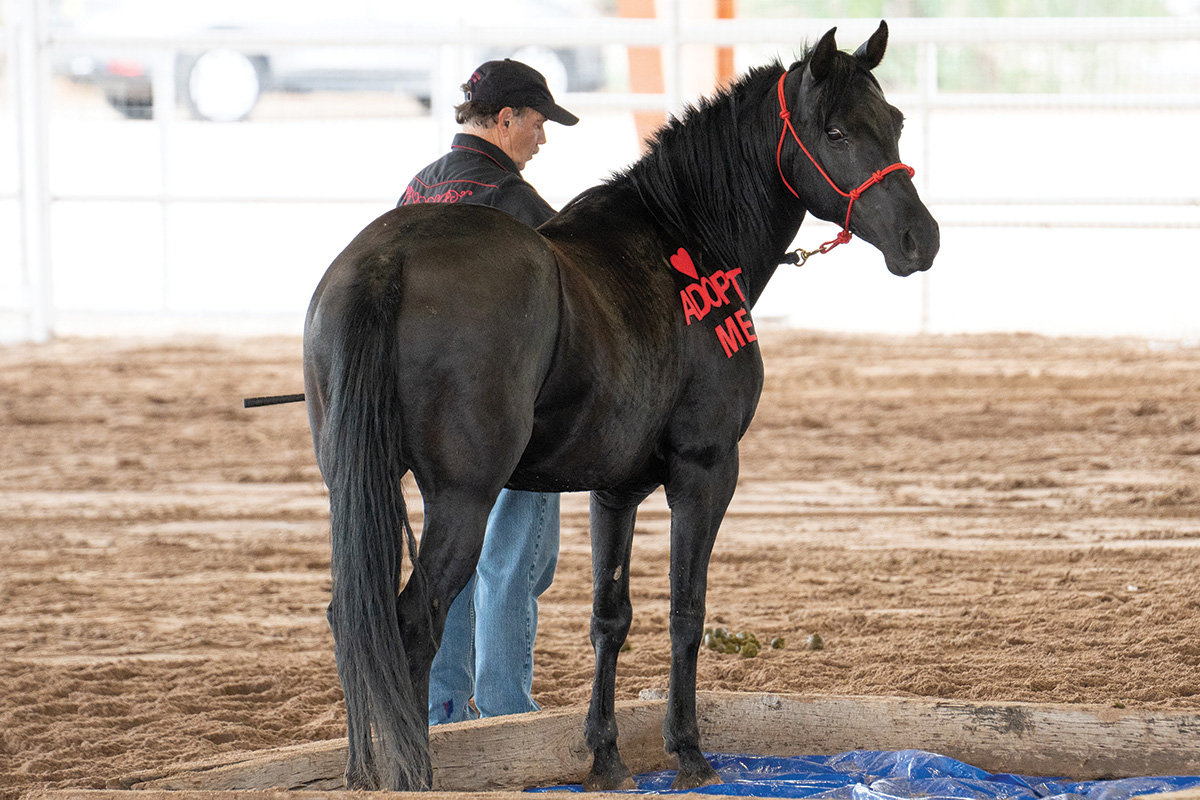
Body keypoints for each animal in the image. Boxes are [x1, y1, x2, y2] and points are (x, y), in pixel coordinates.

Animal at [300, 21, 936, 796]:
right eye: (836, 130)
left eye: (894, 121)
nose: (920, 239)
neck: (680, 244)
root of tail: (389, 259)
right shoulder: (705, 471)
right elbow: (687, 610)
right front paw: (687, 750)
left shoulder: (615, 490)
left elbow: (611, 617)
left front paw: (604, 756)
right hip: (462, 497)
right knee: (412, 623)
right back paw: (412, 771)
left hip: (355, 485)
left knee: (352, 619)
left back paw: (365, 769)